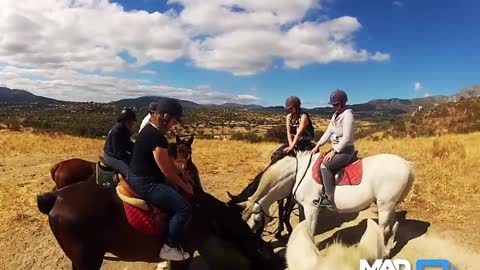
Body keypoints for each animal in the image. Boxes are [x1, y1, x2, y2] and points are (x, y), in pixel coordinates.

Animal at [38, 178, 284, 268]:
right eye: (269, 258)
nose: (284, 265)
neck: (205, 213)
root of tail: (56, 197)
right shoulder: (184, 256)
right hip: (86, 259)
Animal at [238, 150, 414, 258]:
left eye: (257, 220)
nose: (256, 248)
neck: (298, 173)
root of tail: (406, 164)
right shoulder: (302, 206)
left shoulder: (311, 207)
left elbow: (310, 230)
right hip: (390, 206)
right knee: (394, 225)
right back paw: (387, 252)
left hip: (385, 206)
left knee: (383, 229)